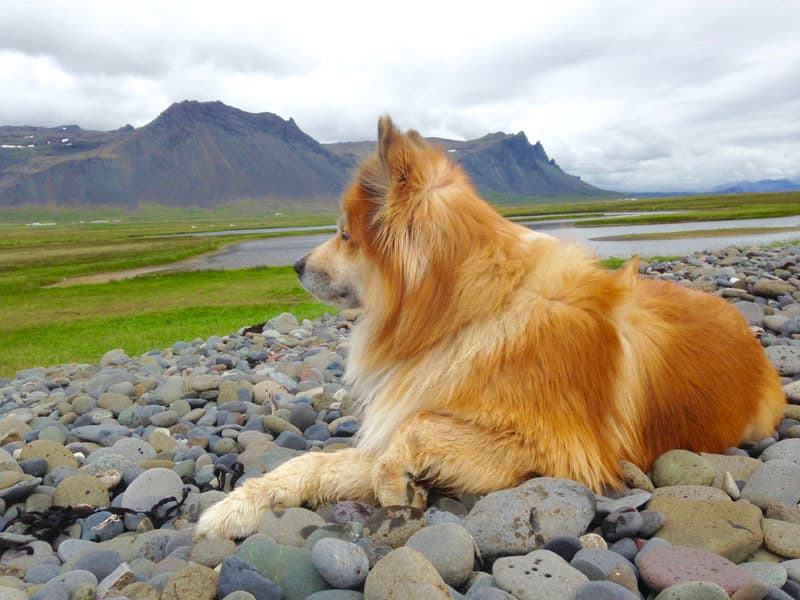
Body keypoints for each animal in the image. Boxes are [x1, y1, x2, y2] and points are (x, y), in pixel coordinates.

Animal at [195, 116, 788, 540]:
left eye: (343, 235)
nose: (294, 265)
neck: (471, 313)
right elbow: (312, 462)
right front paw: (234, 507)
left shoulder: (559, 451)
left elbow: (415, 432)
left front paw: (397, 488)